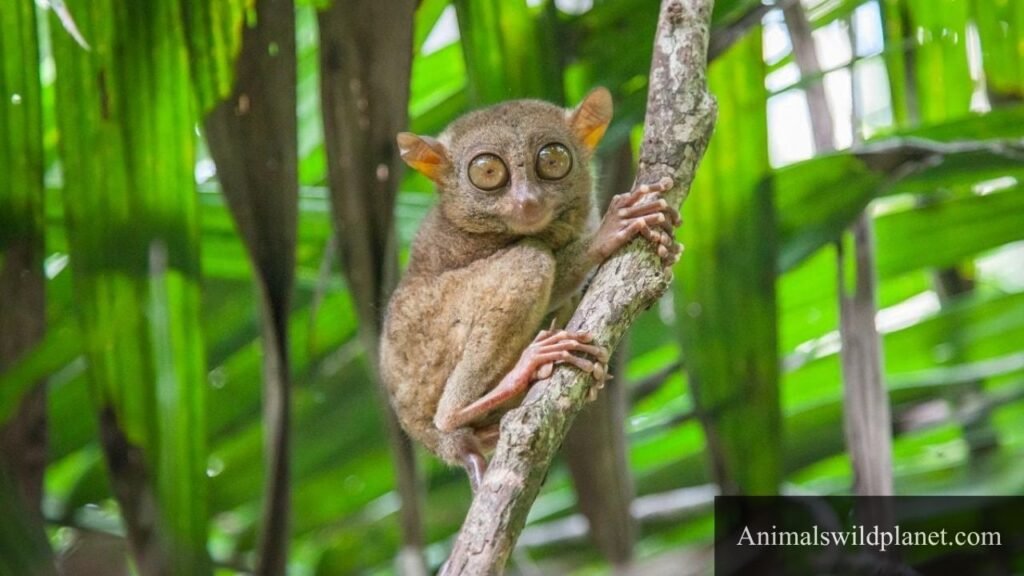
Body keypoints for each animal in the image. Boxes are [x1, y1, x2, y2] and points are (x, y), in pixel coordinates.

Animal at [380, 87, 680, 490]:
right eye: (488, 172)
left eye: (552, 160)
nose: (527, 201)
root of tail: (429, 438)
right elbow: (556, 265)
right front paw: (610, 229)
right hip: (429, 350)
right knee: (531, 259)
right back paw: (518, 372)